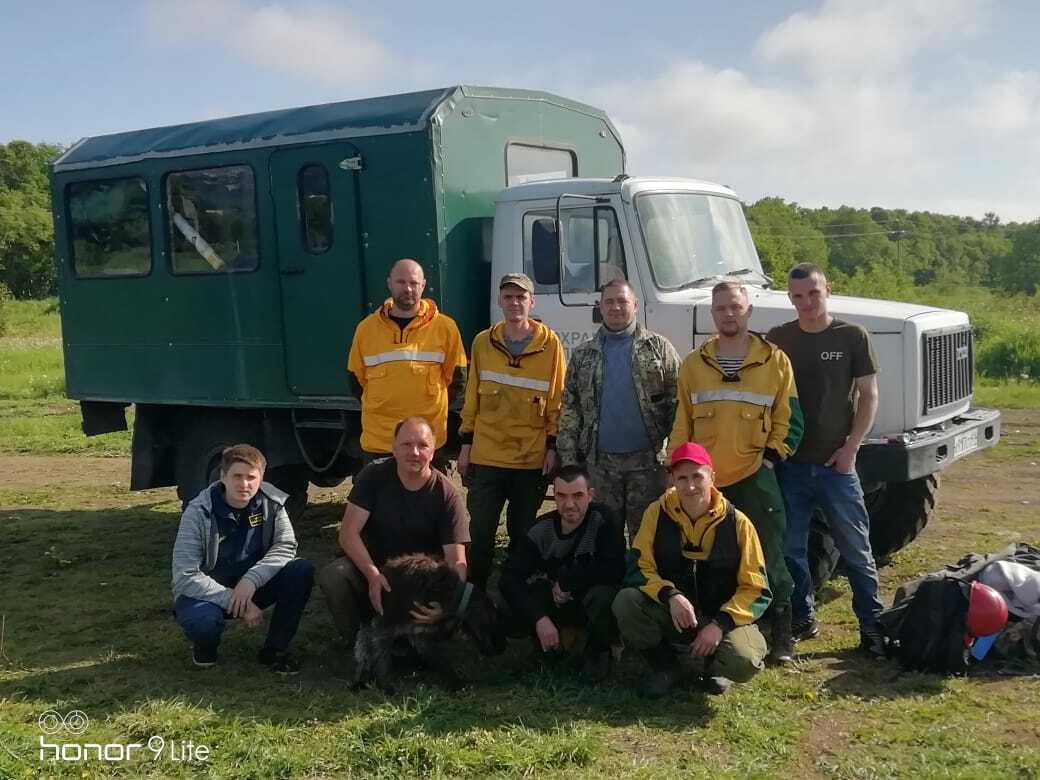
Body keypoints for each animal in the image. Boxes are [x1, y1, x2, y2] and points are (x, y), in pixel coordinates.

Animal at [353, 553, 507, 694]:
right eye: (494, 622)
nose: (502, 649)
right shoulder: (384, 626)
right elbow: (381, 659)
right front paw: (386, 685)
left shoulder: (420, 630)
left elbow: (439, 658)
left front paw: (455, 680)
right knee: (364, 652)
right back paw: (360, 679)